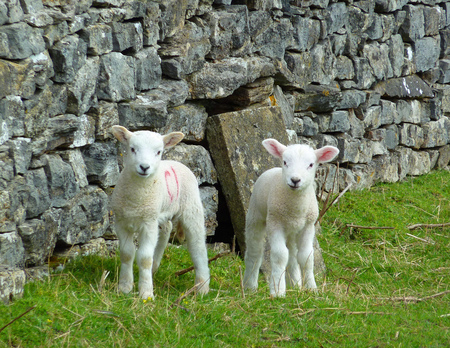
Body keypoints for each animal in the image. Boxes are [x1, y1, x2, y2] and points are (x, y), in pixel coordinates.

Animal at [112, 125, 211, 300]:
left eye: (158, 152)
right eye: (132, 149)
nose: (144, 167)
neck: (137, 200)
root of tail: (176, 162)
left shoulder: (148, 223)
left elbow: (144, 258)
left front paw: (146, 293)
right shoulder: (121, 222)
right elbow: (127, 254)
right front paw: (124, 286)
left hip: (191, 207)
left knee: (197, 244)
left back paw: (202, 287)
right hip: (160, 213)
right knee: (166, 229)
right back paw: (155, 267)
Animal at [244, 138, 340, 296]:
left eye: (311, 164)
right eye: (285, 162)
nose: (295, 180)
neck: (295, 208)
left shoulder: (308, 226)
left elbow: (306, 257)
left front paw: (312, 288)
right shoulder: (275, 222)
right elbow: (280, 256)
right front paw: (277, 291)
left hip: (292, 232)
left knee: (293, 255)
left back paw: (295, 285)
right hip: (255, 215)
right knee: (255, 251)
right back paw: (250, 286)